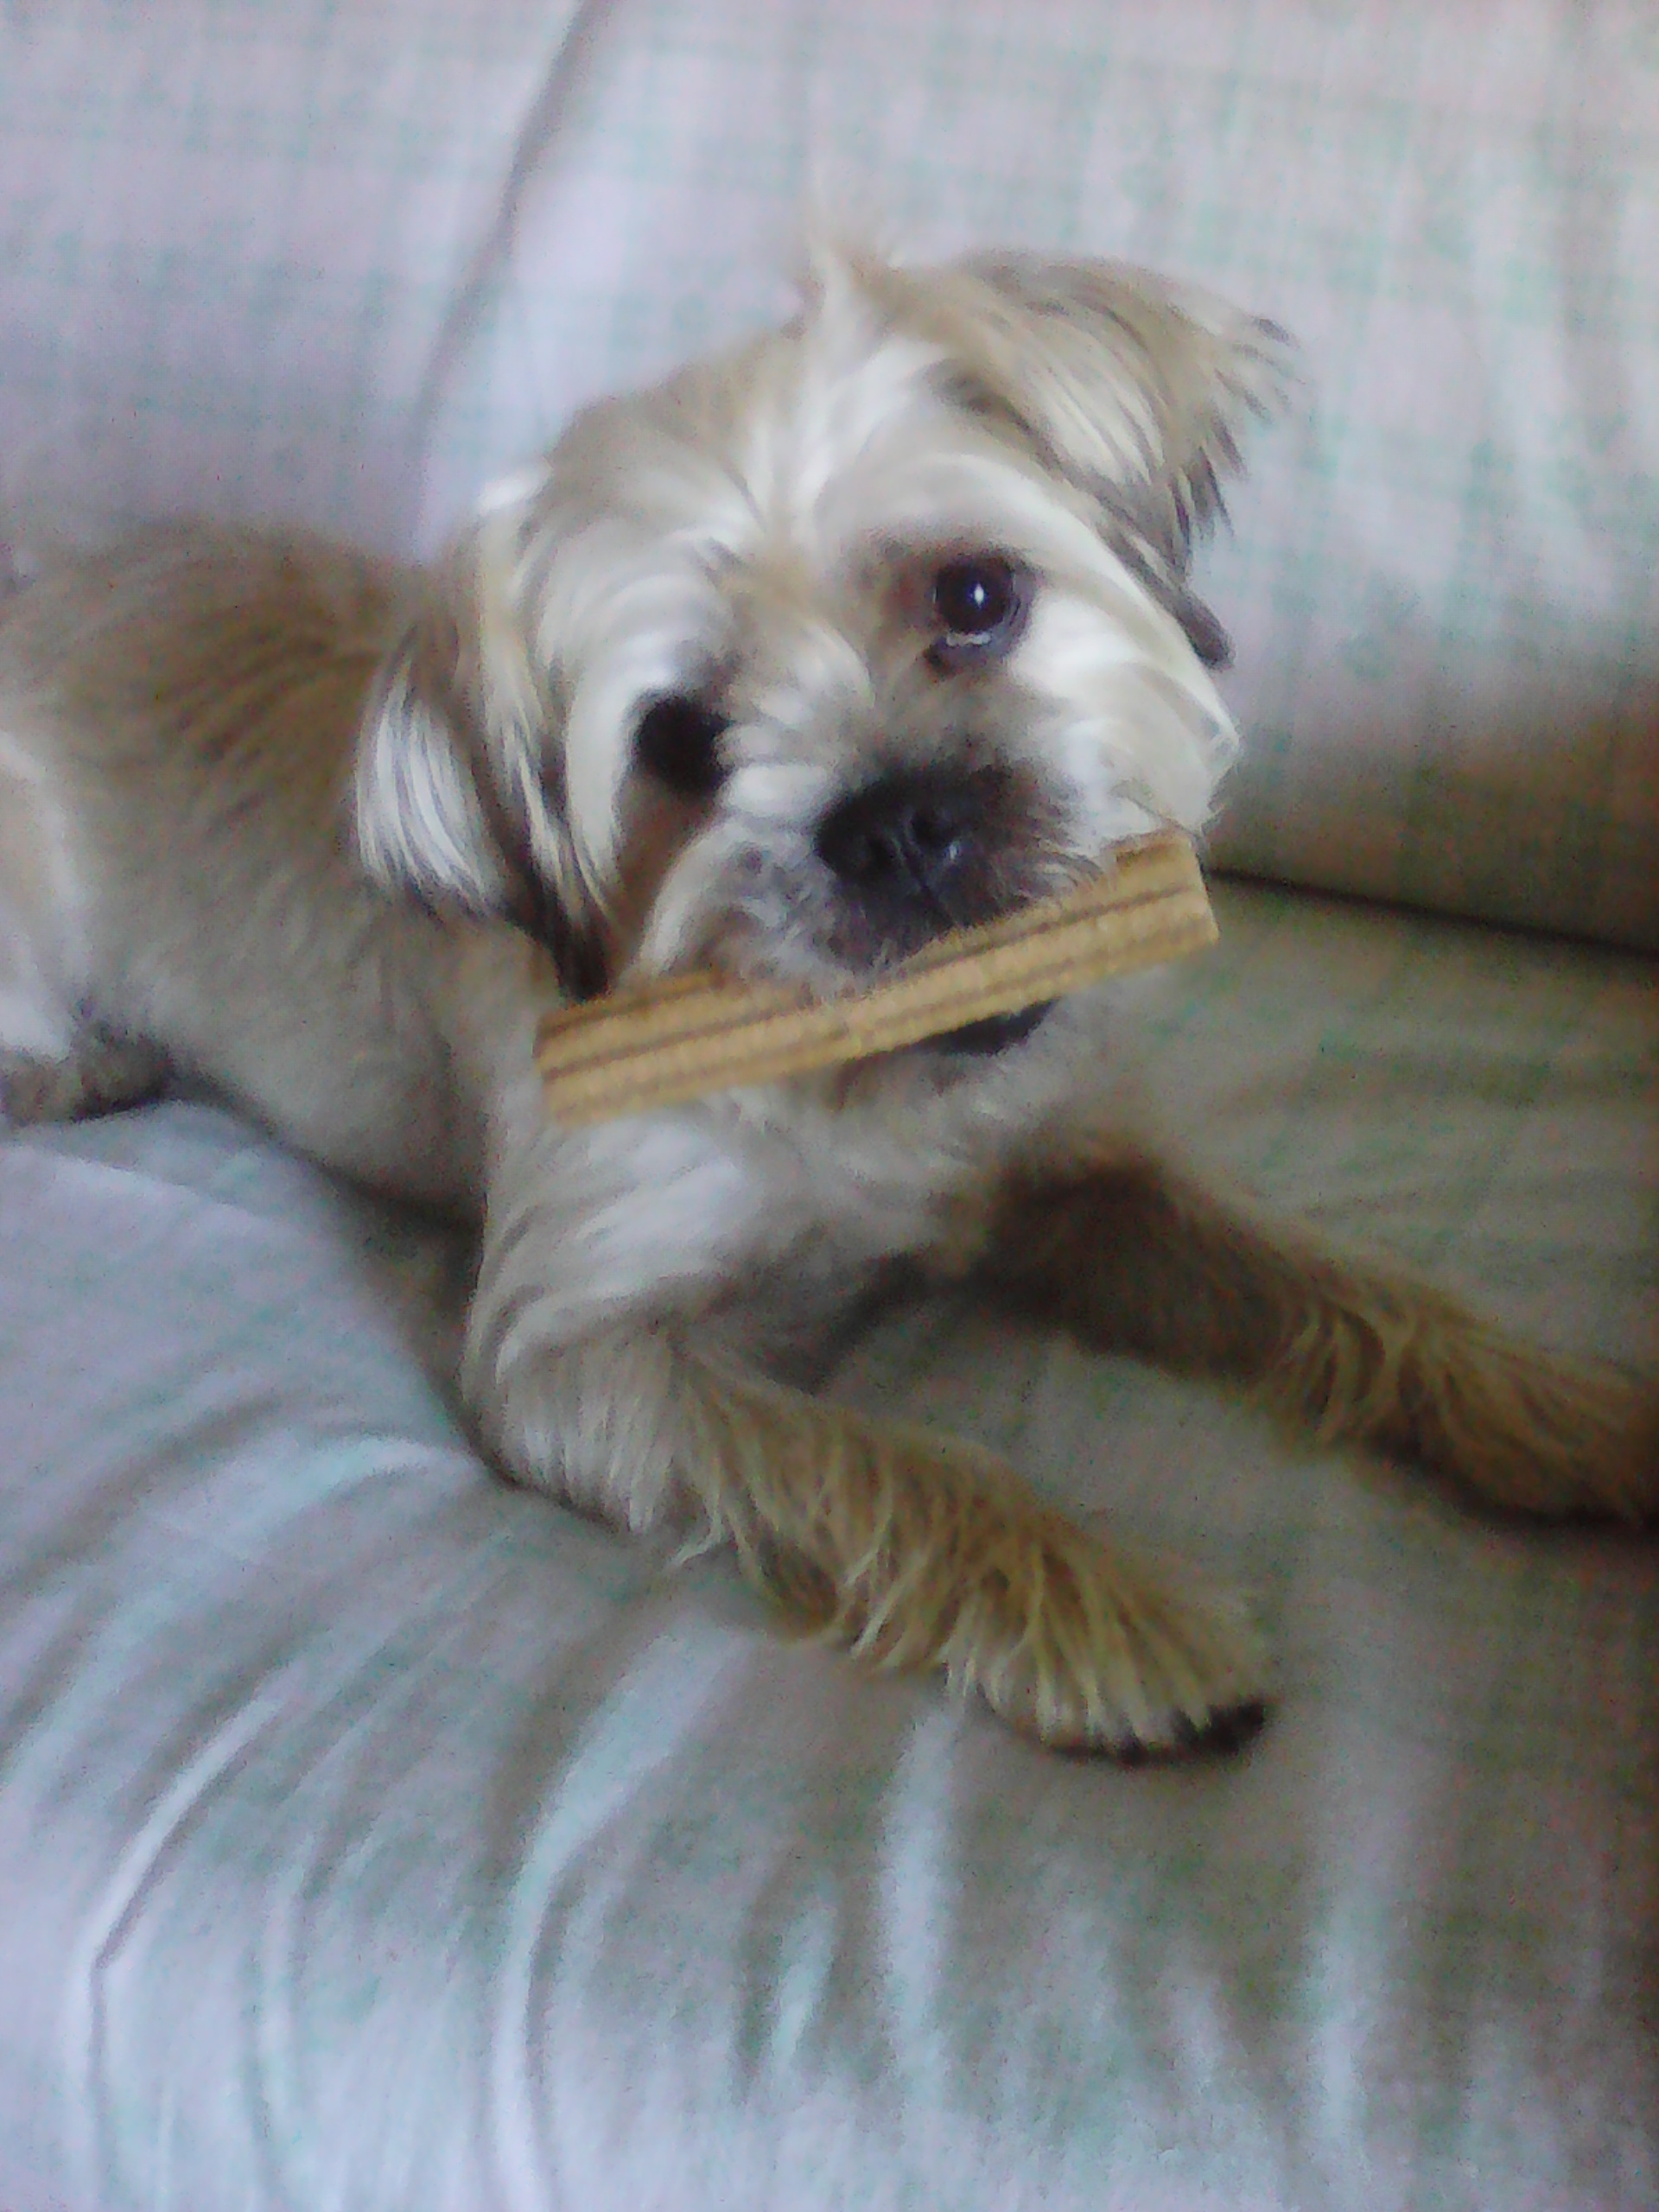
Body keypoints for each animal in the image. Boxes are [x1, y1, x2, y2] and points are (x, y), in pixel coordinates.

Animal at [0, 242, 1646, 1757]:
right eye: (678, 739)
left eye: (976, 595)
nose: (898, 821)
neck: (882, 1080)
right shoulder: (577, 1356)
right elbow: (900, 1470)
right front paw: (1127, 1620)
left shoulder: (1090, 1178)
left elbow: (1341, 1286)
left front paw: (1556, 1402)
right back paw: (88, 1065)